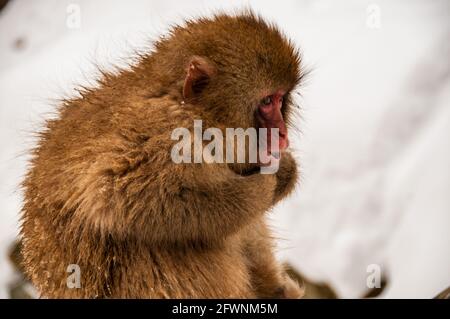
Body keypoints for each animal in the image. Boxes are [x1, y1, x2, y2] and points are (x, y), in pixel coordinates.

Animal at [20, 10, 306, 300]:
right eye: (267, 102)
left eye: (281, 100)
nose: (282, 133)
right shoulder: (165, 135)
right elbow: (114, 192)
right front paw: (266, 185)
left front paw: (285, 171)